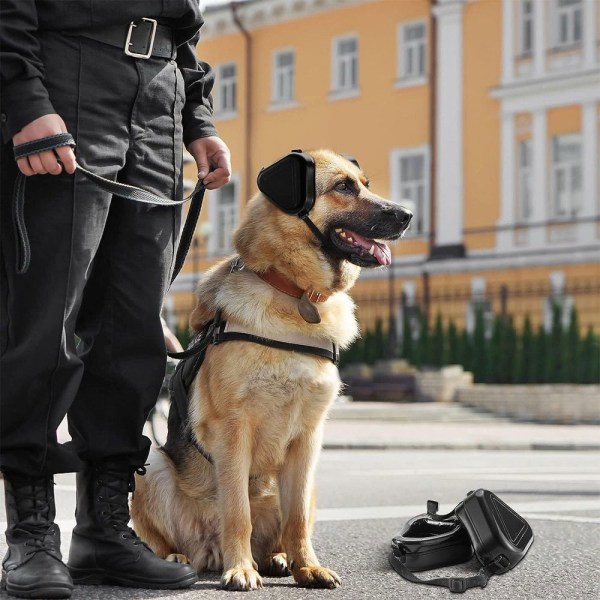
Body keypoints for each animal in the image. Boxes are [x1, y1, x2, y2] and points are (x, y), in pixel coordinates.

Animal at [131, 150, 412, 592]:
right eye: (344, 187)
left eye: (365, 184)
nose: (408, 215)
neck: (294, 294)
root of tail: (207, 551)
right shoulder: (233, 430)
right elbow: (237, 512)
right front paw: (241, 569)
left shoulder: (308, 439)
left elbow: (296, 520)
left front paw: (307, 566)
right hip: (151, 467)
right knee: (167, 538)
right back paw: (180, 557)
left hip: (310, 483)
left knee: (284, 528)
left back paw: (278, 558)